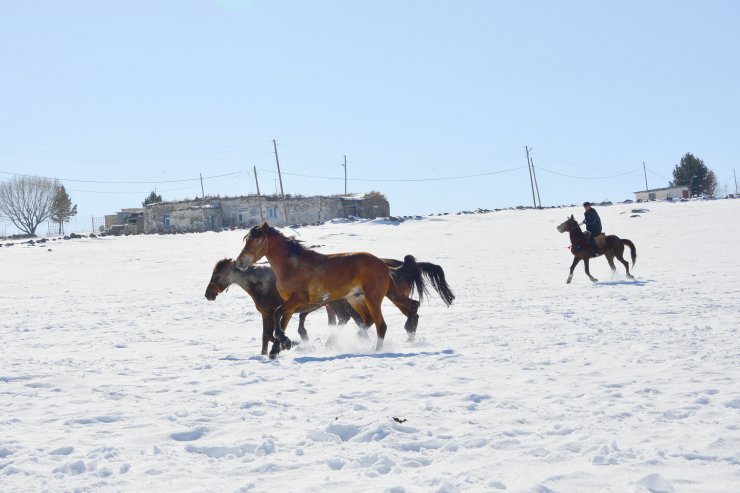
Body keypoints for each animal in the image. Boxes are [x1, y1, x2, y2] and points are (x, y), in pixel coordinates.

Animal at [234, 223, 436, 358]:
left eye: (256, 239)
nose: (239, 262)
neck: (291, 266)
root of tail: (383, 265)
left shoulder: (298, 300)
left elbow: (277, 315)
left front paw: (284, 342)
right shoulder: (290, 305)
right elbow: (281, 322)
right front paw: (279, 347)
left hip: (373, 298)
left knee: (382, 325)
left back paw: (378, 350)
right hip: (357, 298)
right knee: (375, 318)